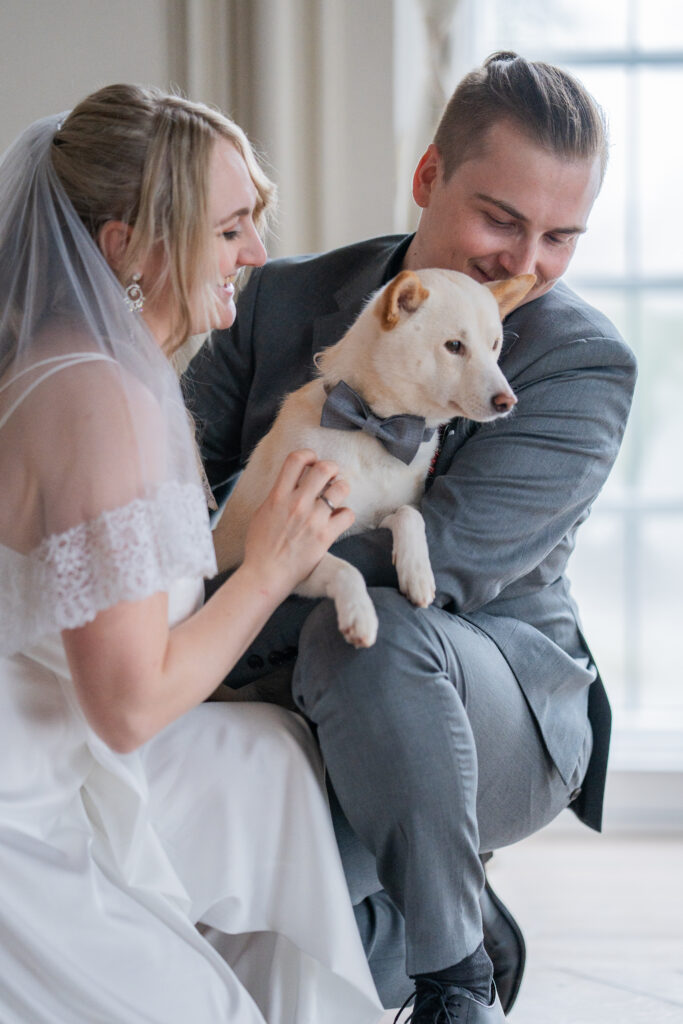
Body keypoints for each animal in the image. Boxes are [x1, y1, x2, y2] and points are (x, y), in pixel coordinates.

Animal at [211, 268, 532, 643]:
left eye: (494, 346)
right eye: (454, 346)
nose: (507, 401)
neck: (378, 429)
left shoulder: (376, 517)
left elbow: (410, 515)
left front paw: (417, 572)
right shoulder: (281, 551)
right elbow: (345, 568)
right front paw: (359, 613)